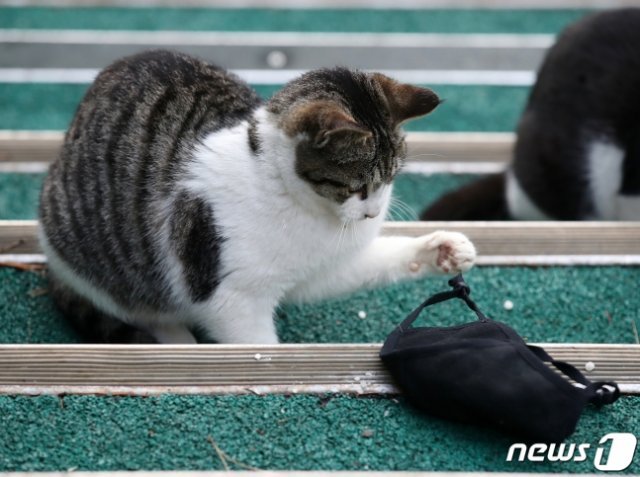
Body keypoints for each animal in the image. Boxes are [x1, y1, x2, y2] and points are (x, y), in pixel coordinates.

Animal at [38, 51, 476, 342]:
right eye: (356, 186)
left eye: (391, 178)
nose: (373, 213)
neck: (309, 209)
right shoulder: (229, 297)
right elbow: (257, 347)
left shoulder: (319, 270)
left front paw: (439, 250)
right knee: (143, 307)